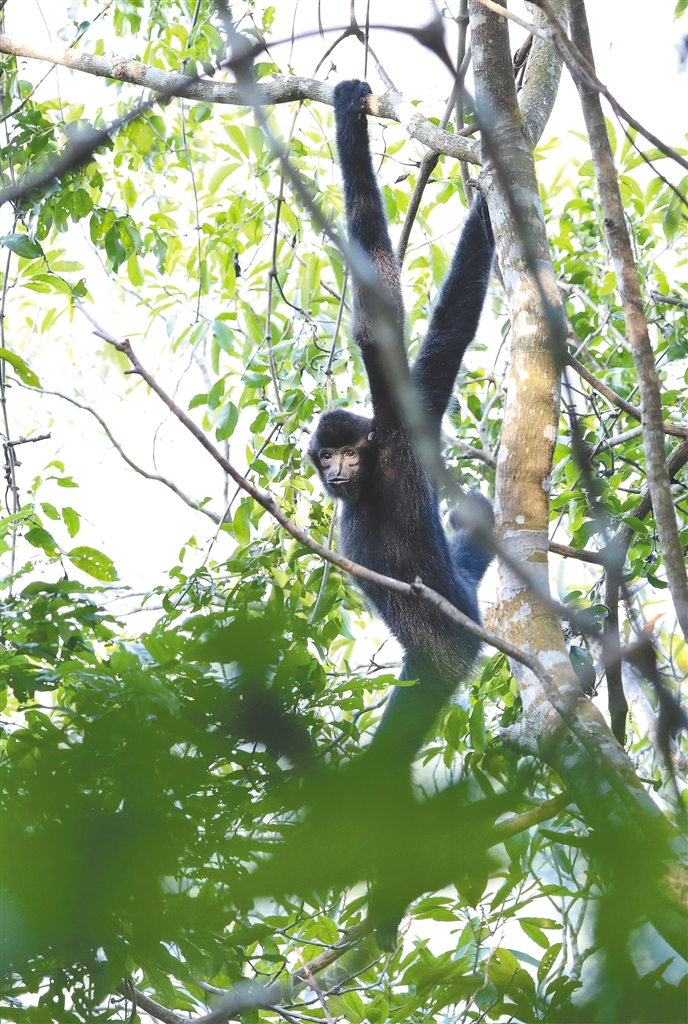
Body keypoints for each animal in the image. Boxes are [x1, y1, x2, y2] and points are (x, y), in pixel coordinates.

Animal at [308, 79, 496, 765]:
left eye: (350, 452)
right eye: (325, 457)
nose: (336, 471)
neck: (369, 485)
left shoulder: (398, 431)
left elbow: (389, 326)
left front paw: (349, 117)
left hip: (445, 653)